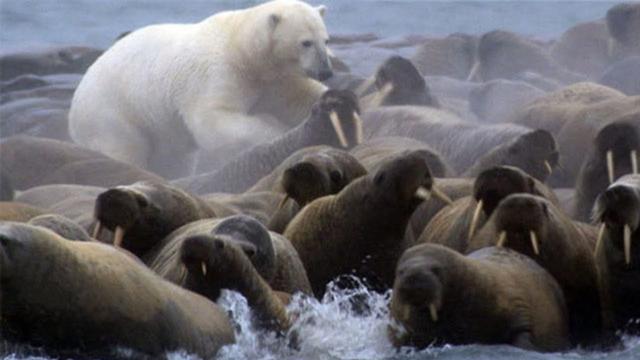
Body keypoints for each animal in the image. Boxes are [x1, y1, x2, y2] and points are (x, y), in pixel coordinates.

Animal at [69, 0, 330, 178]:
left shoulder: (274, 80)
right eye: (306, 42)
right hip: (111, 114)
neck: (240, 47)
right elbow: (213, 120)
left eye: (325, 40)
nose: (326, 71)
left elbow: (296, 98)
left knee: (174, 160)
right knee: (124, 149)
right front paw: (274, 129)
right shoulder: (217, 75)